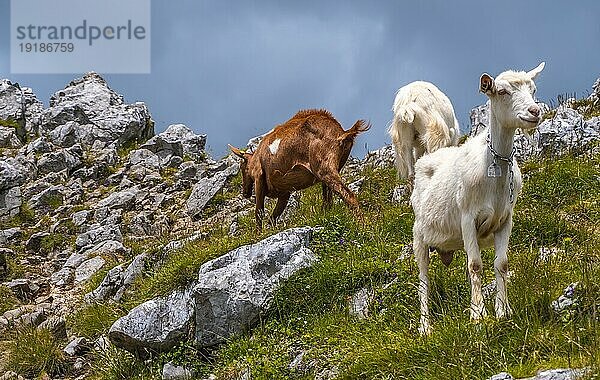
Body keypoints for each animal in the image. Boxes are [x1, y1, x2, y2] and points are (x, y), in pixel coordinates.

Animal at [230, 108, 370, 230]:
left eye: (242, 168)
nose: (245, 193)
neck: (257, 156)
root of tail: (342, 134)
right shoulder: (285, 193)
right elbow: (274, 216)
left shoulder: (259, 178)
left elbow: (259, 211)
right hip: (331, 170)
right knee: (328, 200)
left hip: (324, 169)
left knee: (348, 195)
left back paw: (363, 227)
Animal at [410, 63, 548, 336]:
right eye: (502, 91)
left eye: (533, 89)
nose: (534, 111)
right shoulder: (467, 218)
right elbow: (475, 265)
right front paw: (478, 316)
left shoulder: (505, 220)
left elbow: (501, 264)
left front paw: (503, 311)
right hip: (419, 236)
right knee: (424, 279)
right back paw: (425, 327)